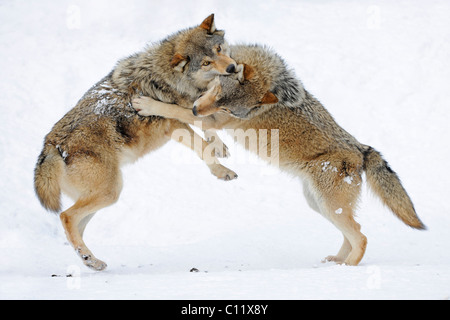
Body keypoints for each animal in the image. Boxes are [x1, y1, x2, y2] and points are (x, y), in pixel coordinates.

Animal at [34, 14, 239, 270]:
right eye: (206, 63)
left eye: (219, 49)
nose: (232, 67)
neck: (173, 78)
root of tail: (51, 146)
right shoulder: (173, 125)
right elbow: (202, 145)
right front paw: (221, 171)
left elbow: (207, 126)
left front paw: (220, 147)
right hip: (111, 191)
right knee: (66, 216)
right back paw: (89, 258)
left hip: (104, 195)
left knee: (74, 225)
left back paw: (91, 261)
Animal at [133, 43, 426, 266]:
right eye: (216, 91)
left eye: (228, 108)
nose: (196, 110)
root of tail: (360, 150)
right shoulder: (207, 109)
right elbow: (194, 114)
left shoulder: (216, 119)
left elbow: (177, 111)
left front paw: (146, 103)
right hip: (319, 205)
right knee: (354, 233)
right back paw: (336, 261)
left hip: (329, 206)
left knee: (362, 237)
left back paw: (348, 267)